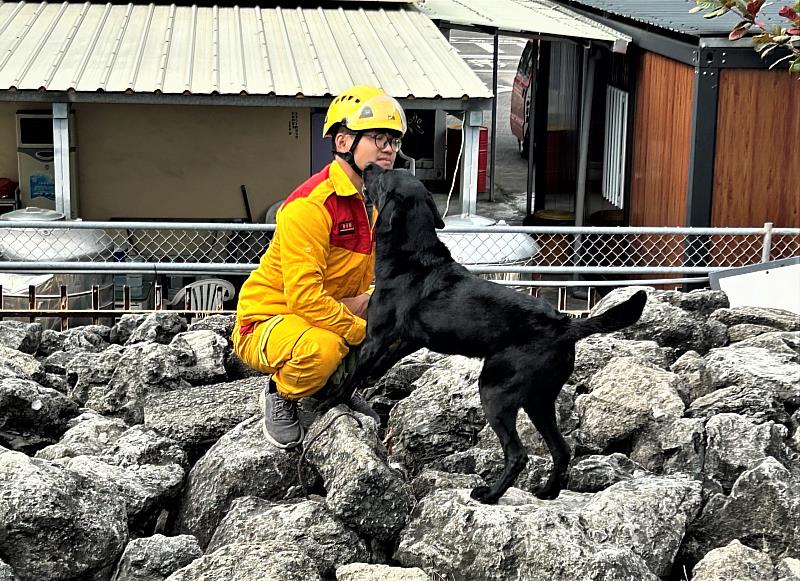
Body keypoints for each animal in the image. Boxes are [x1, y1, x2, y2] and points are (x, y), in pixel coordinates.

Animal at [342, 163, 644, 502]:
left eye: (384, 176)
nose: (368, 166)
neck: (413, 256)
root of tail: (565, 325)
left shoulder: (376, 337)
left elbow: (349, 375)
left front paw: (326, 404)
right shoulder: (408, 338)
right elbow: (380, 365)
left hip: (494, 391)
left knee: (518, 454)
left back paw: (490, 494)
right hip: (539, 400)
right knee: (562, 450)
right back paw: (547, 492)